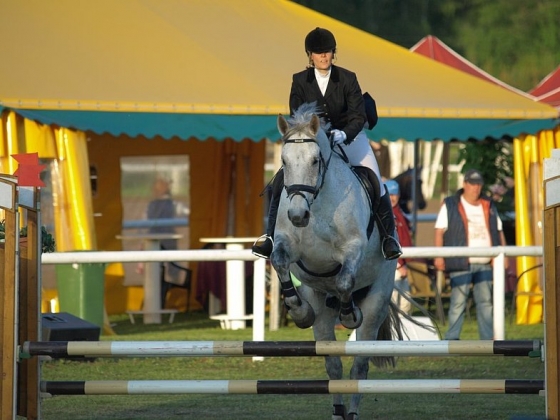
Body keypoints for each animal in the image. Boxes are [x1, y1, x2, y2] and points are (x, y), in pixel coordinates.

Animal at [270, 103, 402, 418]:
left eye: (315, 160)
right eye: (284, 160)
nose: (297, 215)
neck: (317, 204)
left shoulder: (352, 248)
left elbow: (344, 280)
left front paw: (350, 314)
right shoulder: (287, 247)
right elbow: (279, 263)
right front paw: (298, 311)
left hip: (377, 300)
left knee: (359, 367)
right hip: (321, 308)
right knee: (333, 365)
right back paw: (338, 411)